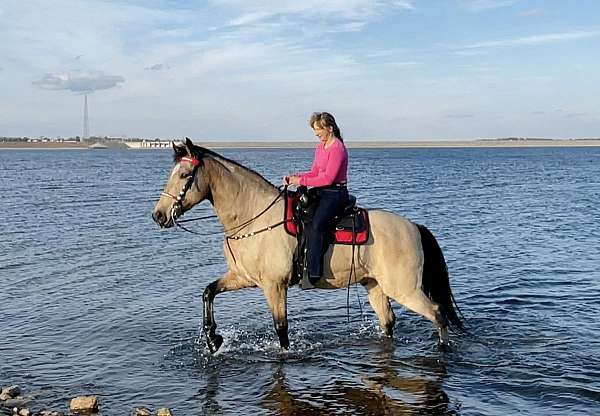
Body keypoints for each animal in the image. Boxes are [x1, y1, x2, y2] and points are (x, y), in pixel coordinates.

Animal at [152, 138, 466, 352]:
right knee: (389, 322)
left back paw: (442, 349)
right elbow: (208, 292)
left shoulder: (274, 286)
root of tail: (413, 227)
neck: (253, 217)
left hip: (404, 289)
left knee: (438, 314)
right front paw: (213, 338)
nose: (159, 215)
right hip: (375, 285)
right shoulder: (243, 277)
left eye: (184, 176)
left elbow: (281, 327)